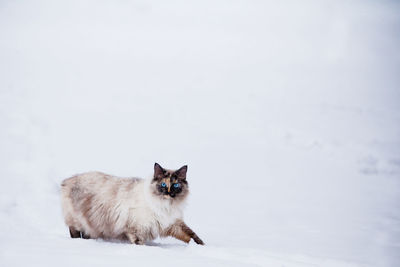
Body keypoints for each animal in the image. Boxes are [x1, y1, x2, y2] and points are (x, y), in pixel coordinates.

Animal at [61, 162, 205, 246]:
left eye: (175, 185)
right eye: (163, 185)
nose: (169, 193)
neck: (166, 206)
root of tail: (67, 180)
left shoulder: (173, 223)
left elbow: (192, 235)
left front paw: (201, 246)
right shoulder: (136, 228)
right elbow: (139, 242)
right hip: (78, 220)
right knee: (74, 231)